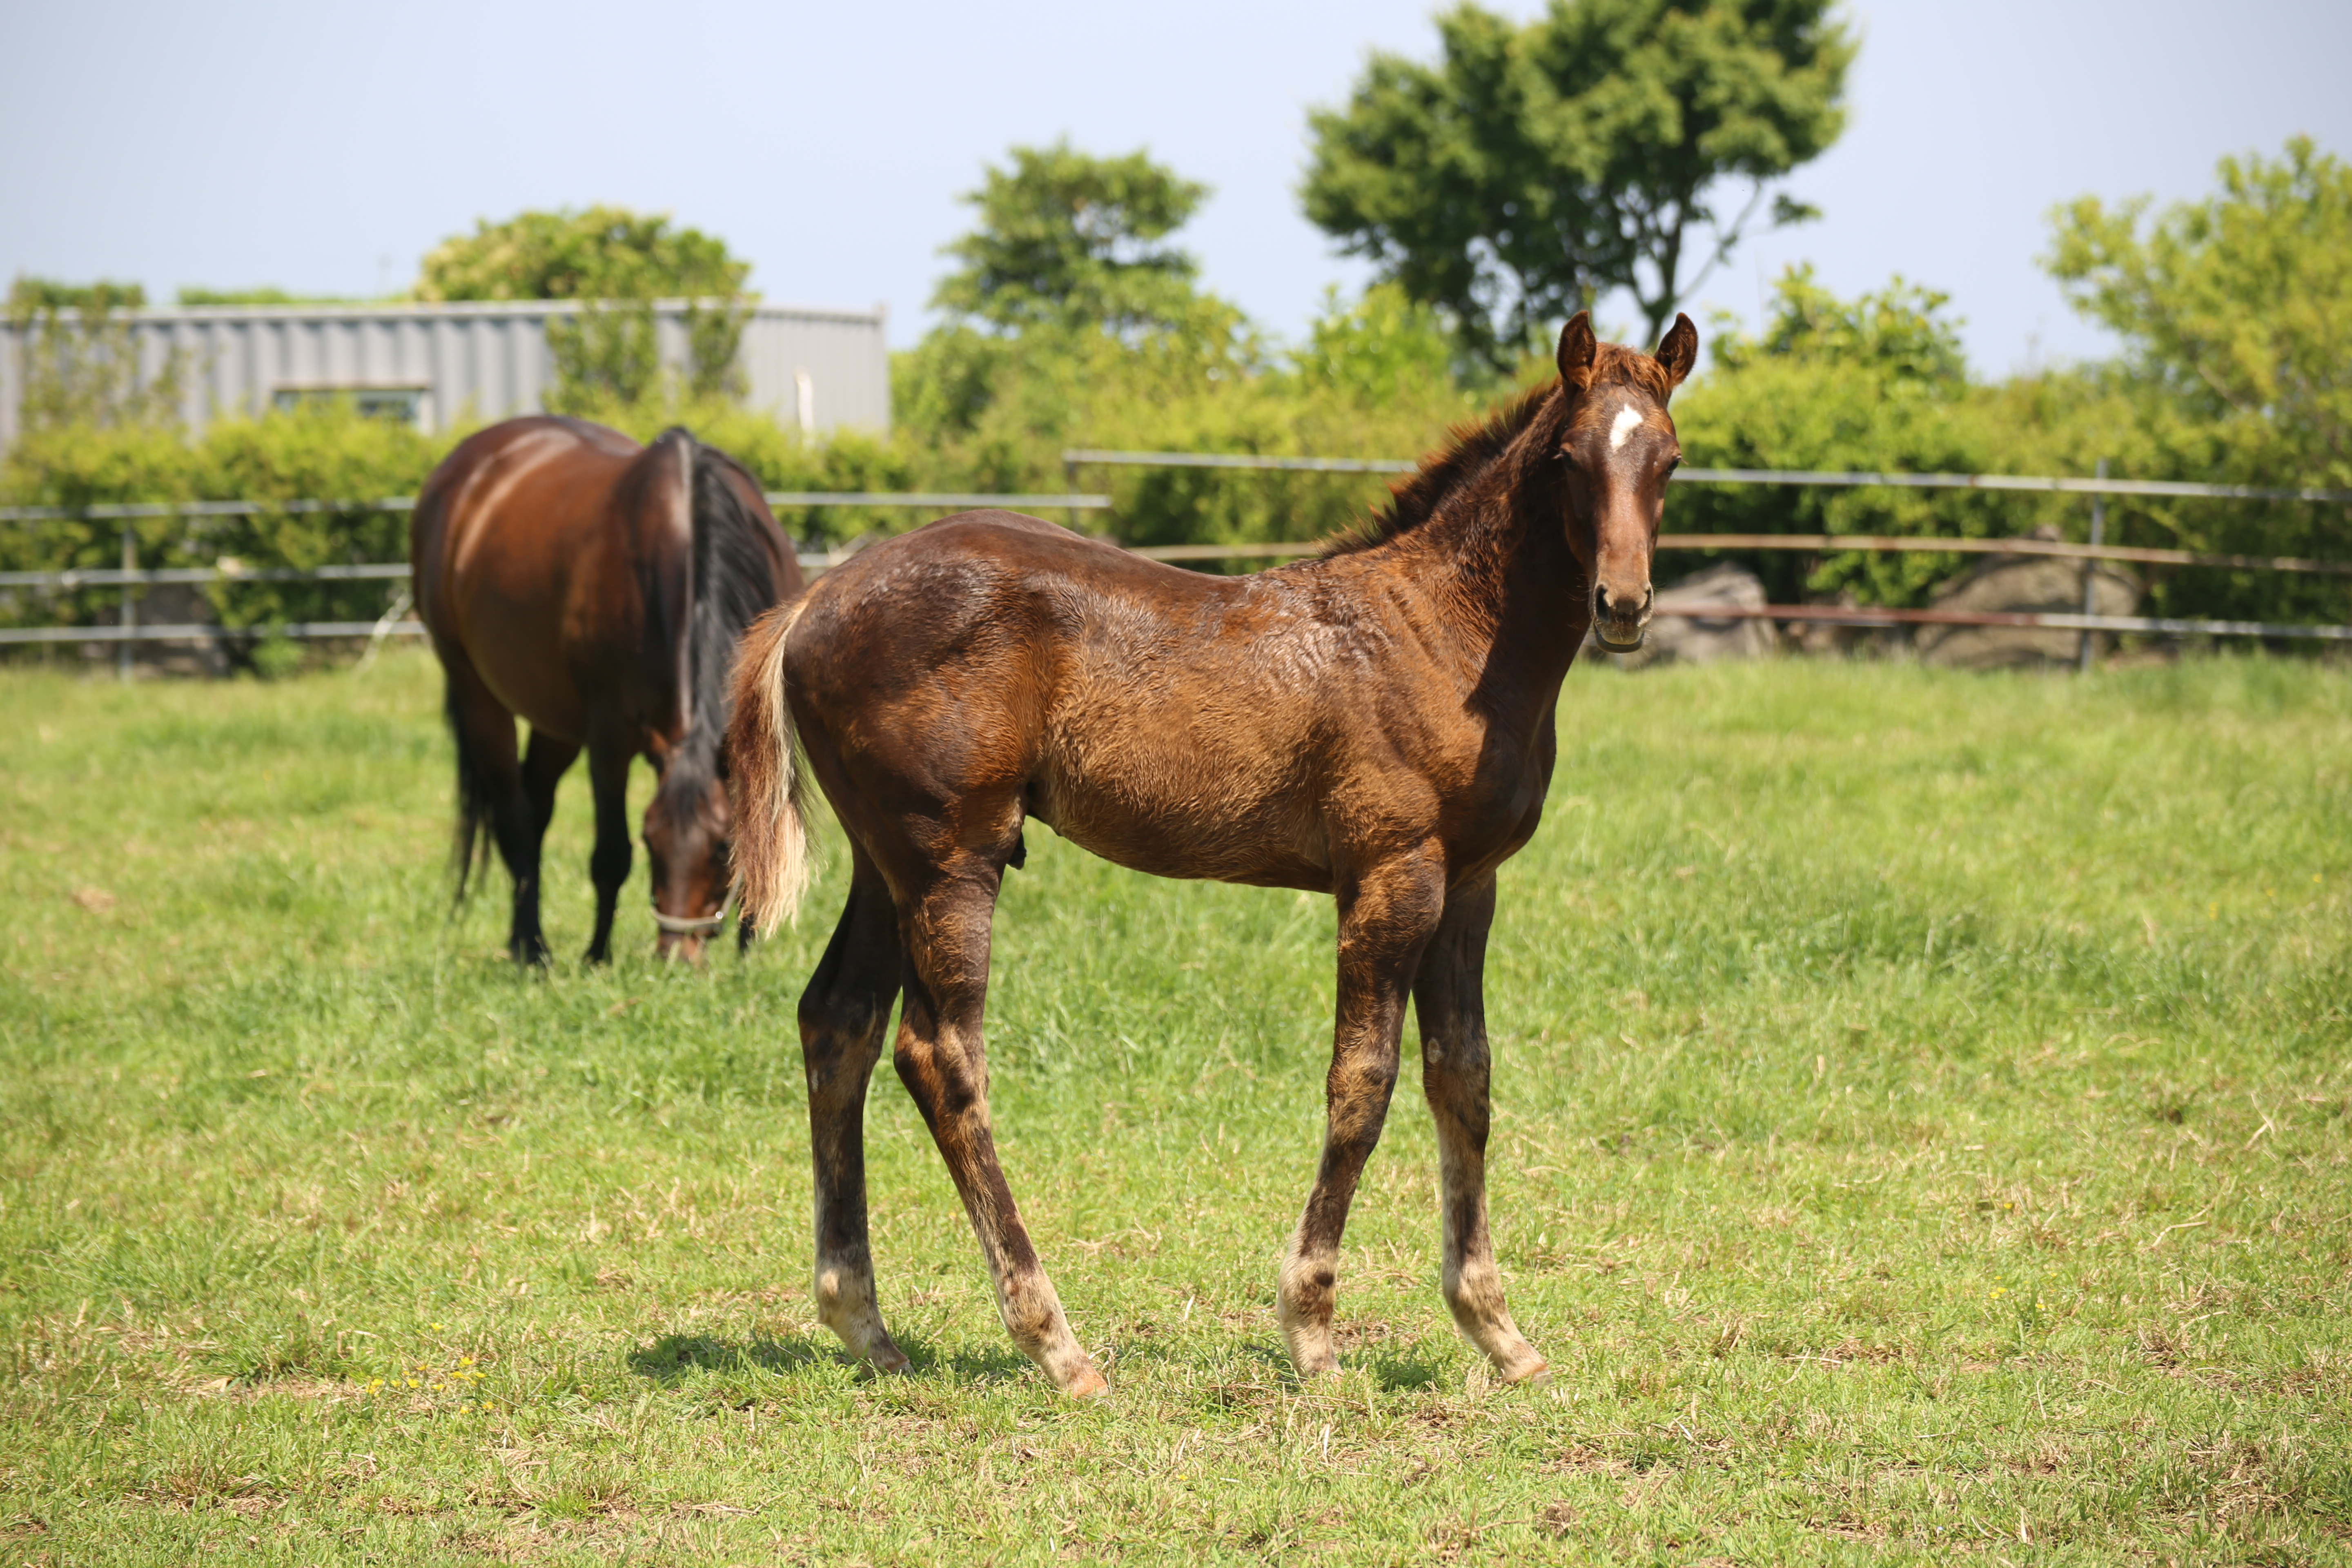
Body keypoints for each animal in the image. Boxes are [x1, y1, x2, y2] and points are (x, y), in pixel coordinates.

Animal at [412, 414, 800, 968]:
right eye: (650, 840)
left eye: (720, 847)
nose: (675, 956)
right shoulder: (610, 737)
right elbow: (611, 854)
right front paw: (597, 955)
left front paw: (748, 952)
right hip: (479, 698)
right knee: (515, 819)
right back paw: (531, 948)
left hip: (556, 721)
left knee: (536, 807)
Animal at [729, 312, 1693, 1392]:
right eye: (1568, 458)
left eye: (1669, 459)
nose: (1622, 603)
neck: (1438, 633)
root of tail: (815, 602)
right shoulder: (1389, 876)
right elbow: (1363, 1081)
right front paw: (1311, 1325)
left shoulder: (1471, 885)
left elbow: (1464, 1079)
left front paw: (1497, 1330)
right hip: (951, 861)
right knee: (938, 1054)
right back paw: (1054, 1342)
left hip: (881, 864)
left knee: (837, 1022)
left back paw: (863, 1321)